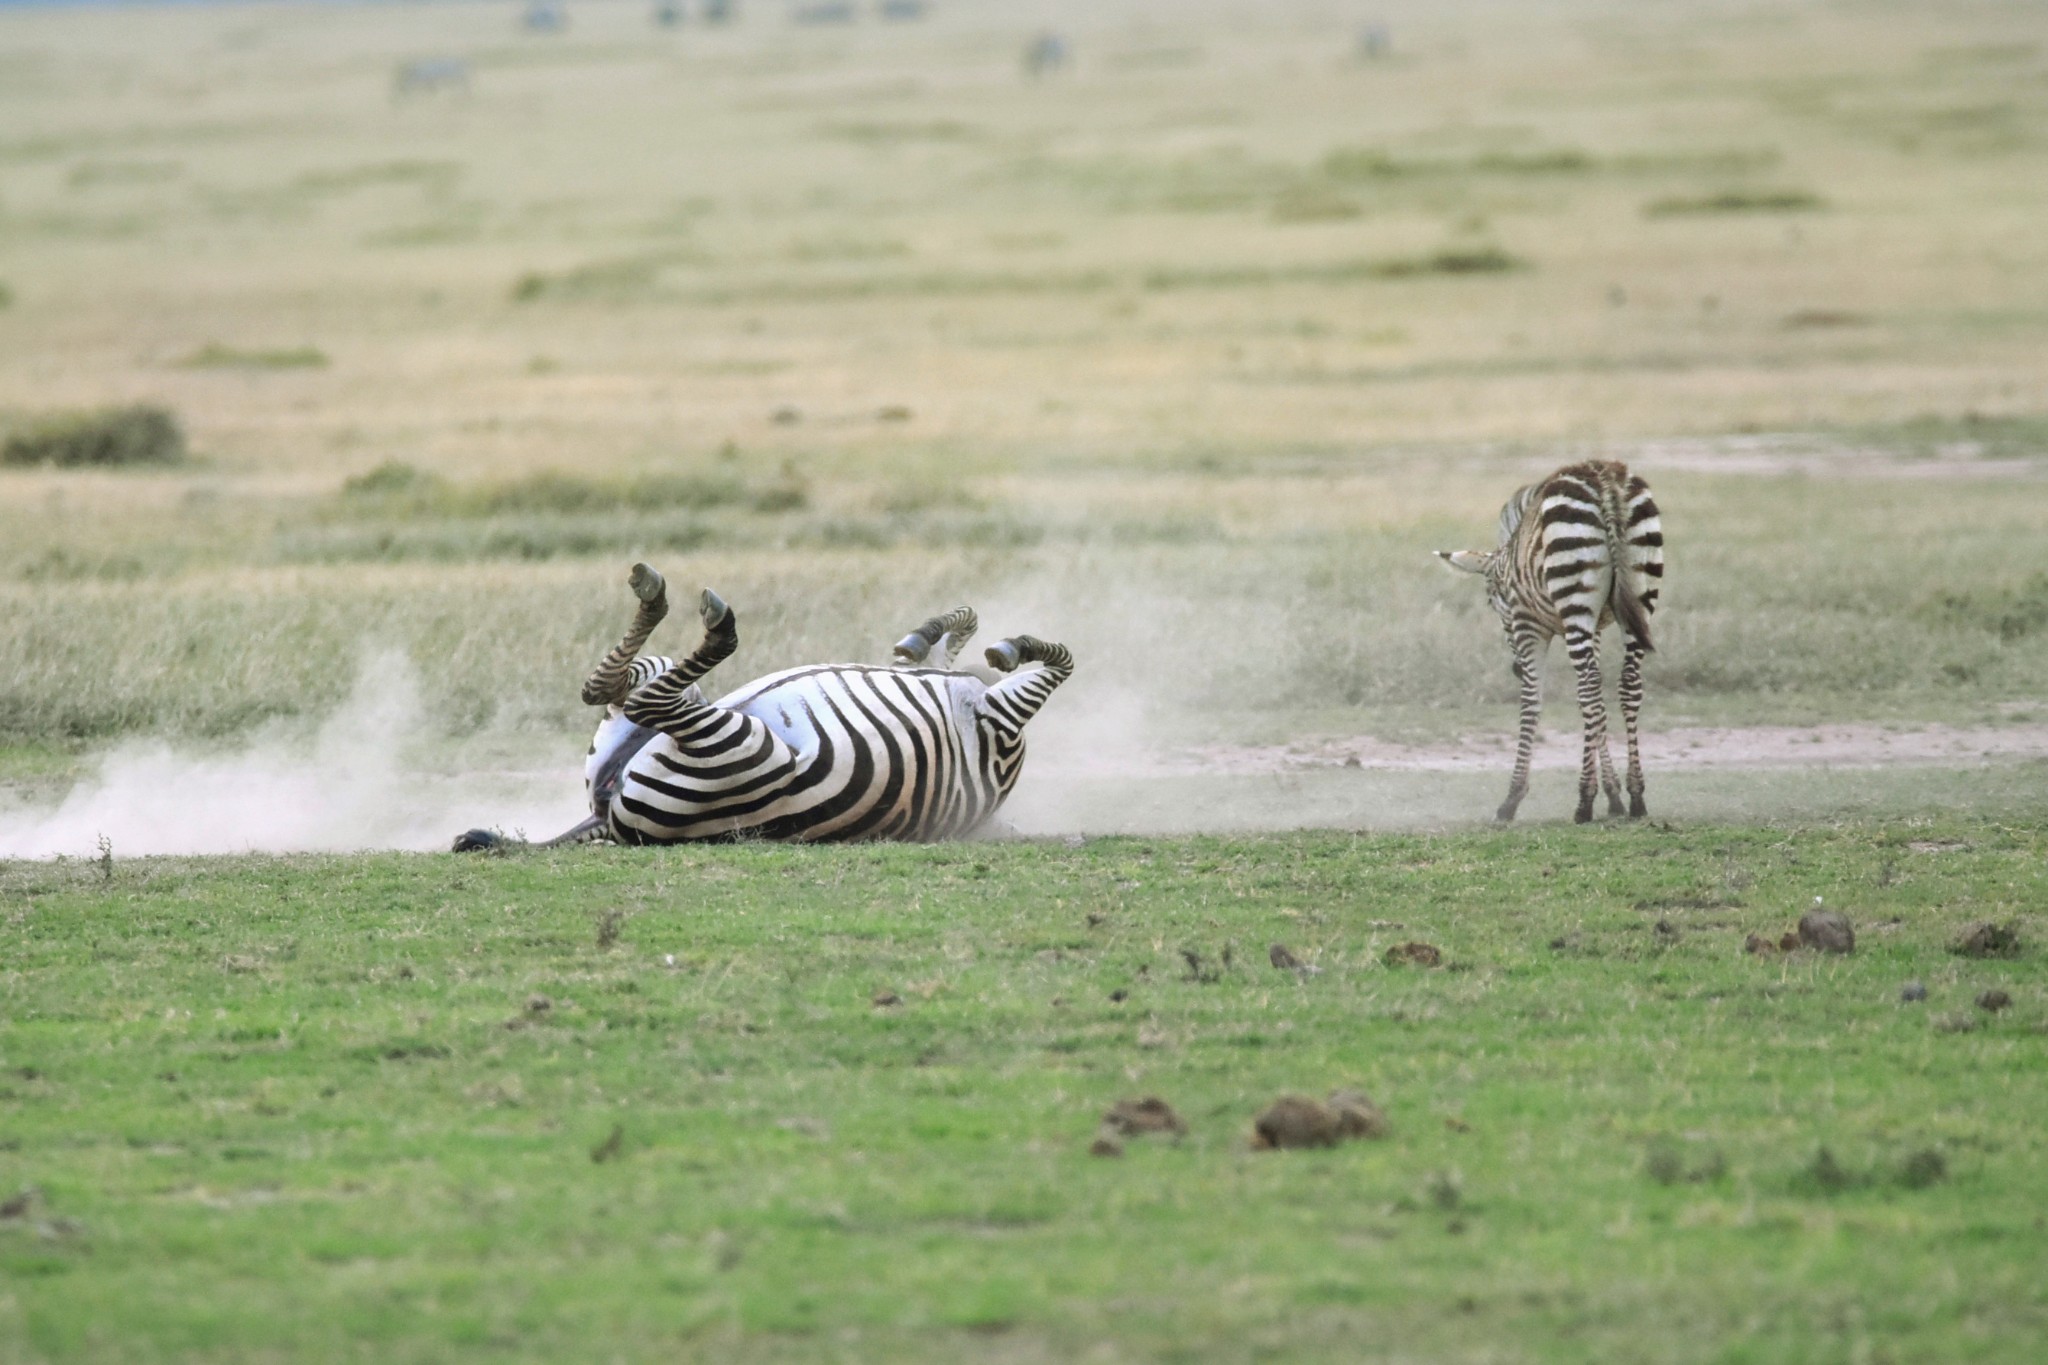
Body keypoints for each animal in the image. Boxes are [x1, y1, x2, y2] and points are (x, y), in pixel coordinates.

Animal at [458, 564, 1081, 843]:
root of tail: (608, 821)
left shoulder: (1000, 722)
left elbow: (1065, 661)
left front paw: (1010, 647)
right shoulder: (990, 712)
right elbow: (964, 627)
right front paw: (927, 637)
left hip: (741, 749)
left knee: (642, 698)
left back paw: (691, 613)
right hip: (696, 723)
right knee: (620, 692)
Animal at [1441, 458, 1662, 822]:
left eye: (1491, 602)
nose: (1514, 668)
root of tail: (1603, 478)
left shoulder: (1527, 625)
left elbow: (1531, 701)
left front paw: (1512, 798)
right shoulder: (1593, 626)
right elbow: (1597, 710)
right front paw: (1614, 795)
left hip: (1574, 589)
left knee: (1589, 687)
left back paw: (1584, 801)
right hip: (1637, 594)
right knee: (1626, 685)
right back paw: (1636, 796)